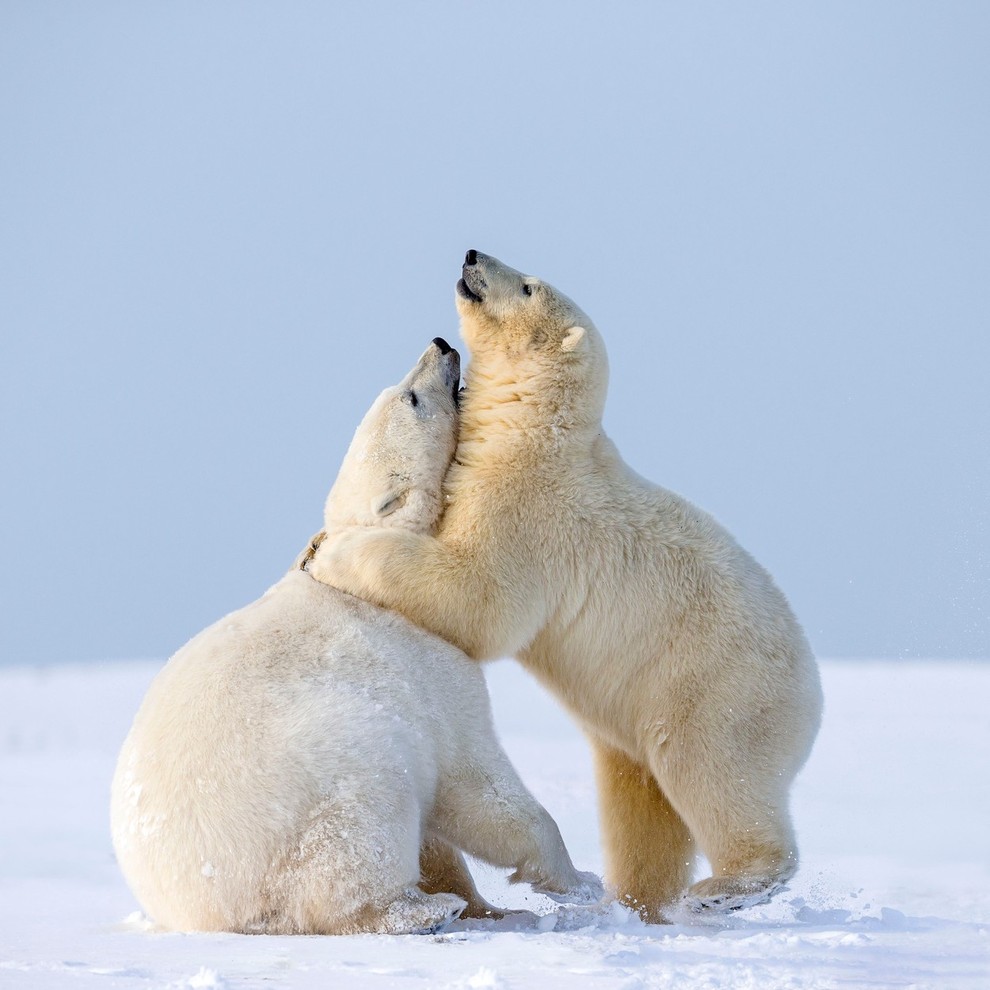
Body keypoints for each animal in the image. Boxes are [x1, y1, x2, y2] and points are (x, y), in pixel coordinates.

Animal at [111, 340, 600, 936]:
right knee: (360, 831)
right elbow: (476, 782)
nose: (441, 346)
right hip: (324, 779)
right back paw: (421, 909)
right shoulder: (427, 667)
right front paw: (578, 881)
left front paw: (493, 906)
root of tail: (209, 908)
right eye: (411, 398)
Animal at [314, 252, 824, 928]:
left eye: (528, 285)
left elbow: (478, 598)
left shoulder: (530, 507)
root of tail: (813, 693)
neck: (533, 431)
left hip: (717, 689)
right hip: (638, 723)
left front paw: (333, 554)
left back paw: (726, 888)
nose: (473, 255)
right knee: (641, 806)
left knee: (714, 775)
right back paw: (630, 903)